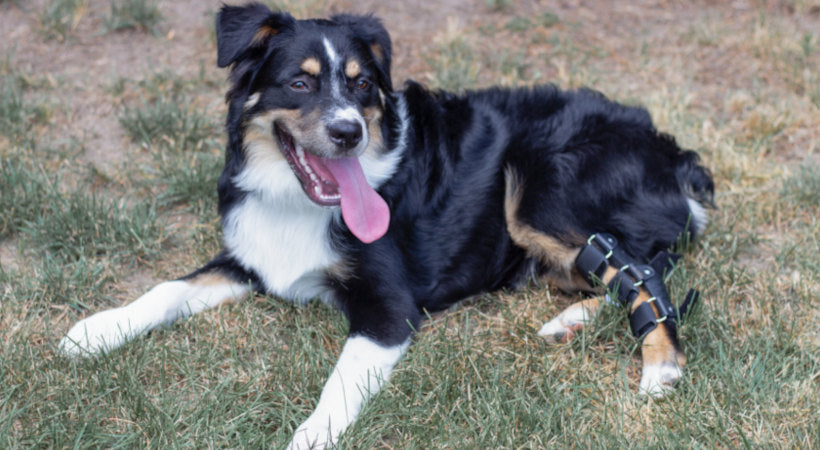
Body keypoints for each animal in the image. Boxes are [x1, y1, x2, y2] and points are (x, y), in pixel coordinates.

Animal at [59, 2, 712, 446]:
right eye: (300, 81)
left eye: (363, 84)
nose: (350, 131)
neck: (298, 203)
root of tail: (670, 149)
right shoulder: (251, 256)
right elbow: (167, 288)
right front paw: (96, 331)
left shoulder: (389, 309)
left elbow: (340, 381)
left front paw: (312, 434)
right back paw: (568, 322)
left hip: (540, 186)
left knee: (646, 271)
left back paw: (660, 368)